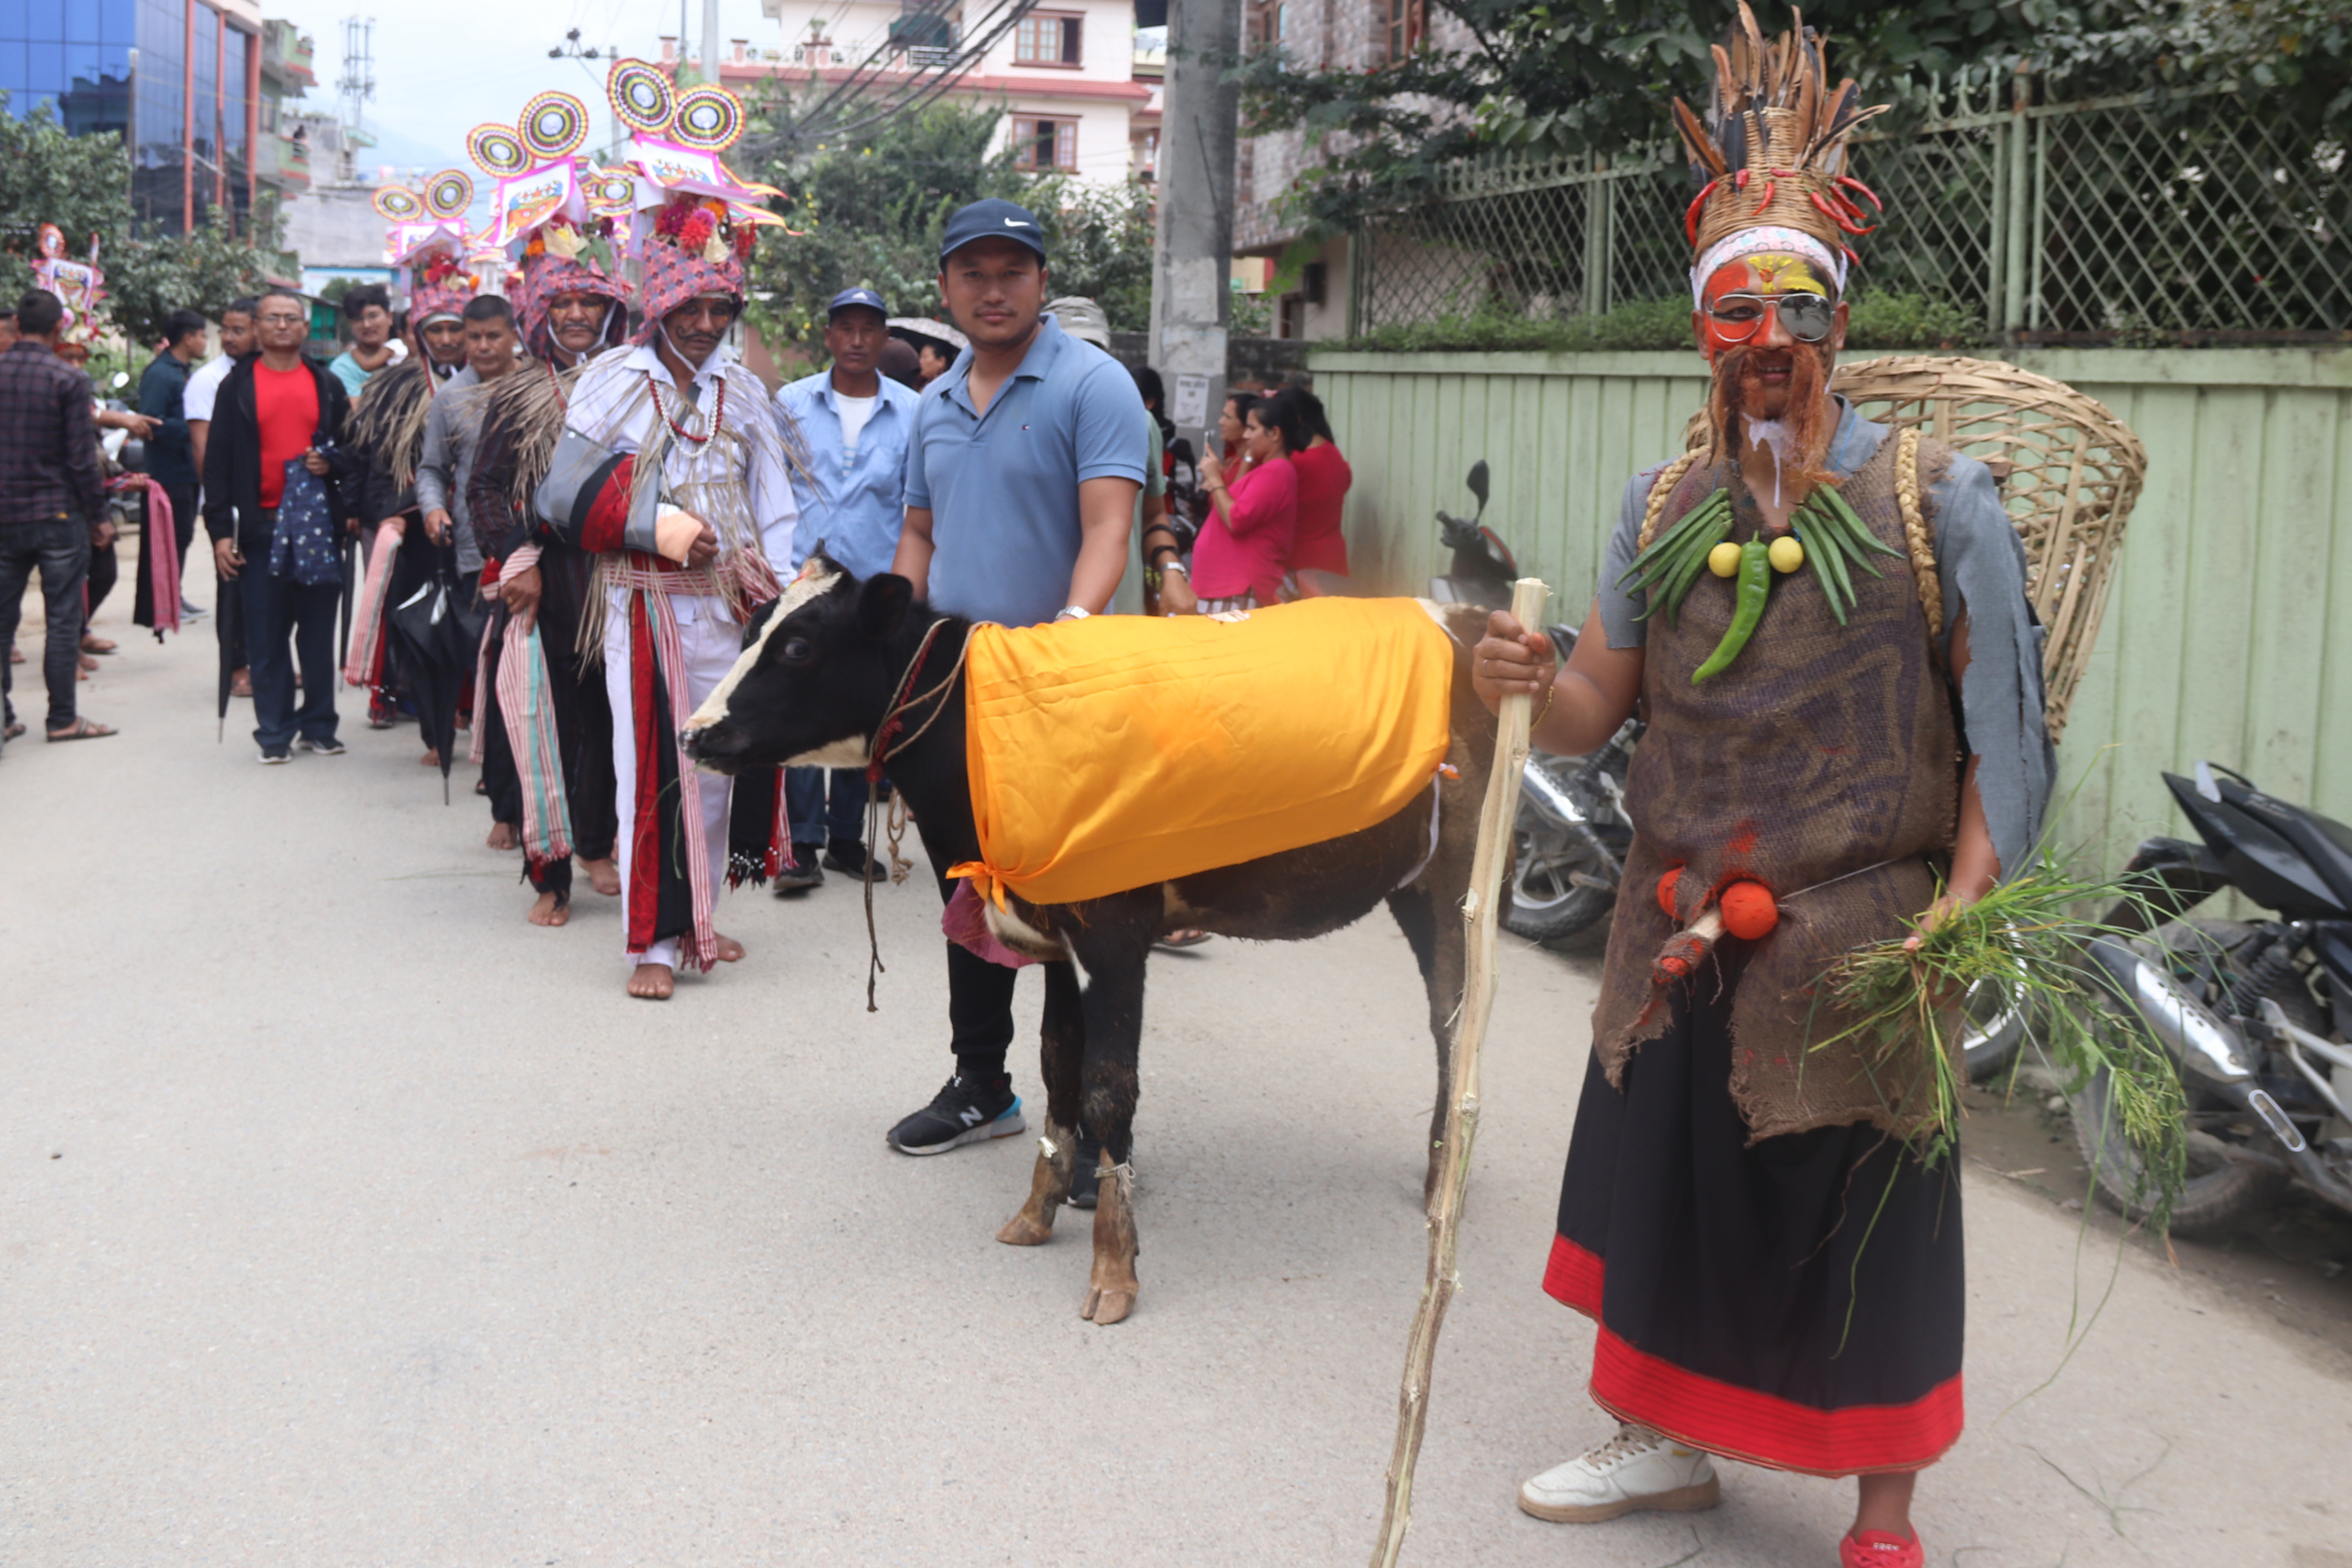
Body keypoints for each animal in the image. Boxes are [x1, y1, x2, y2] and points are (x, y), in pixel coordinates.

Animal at [687, 564, 1486, 1326]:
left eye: (798, 647)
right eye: (751, 630)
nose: (694, 732)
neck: (982, 741)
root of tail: (1471, 617)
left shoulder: (1114, 935)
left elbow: (1108, 1092)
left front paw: (1113, 1267)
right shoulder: (1054, 939)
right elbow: (1058, 1067)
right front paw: (1035, 1213)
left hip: (1453, 885)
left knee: (1453, 1023)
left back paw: (1443, 1181)